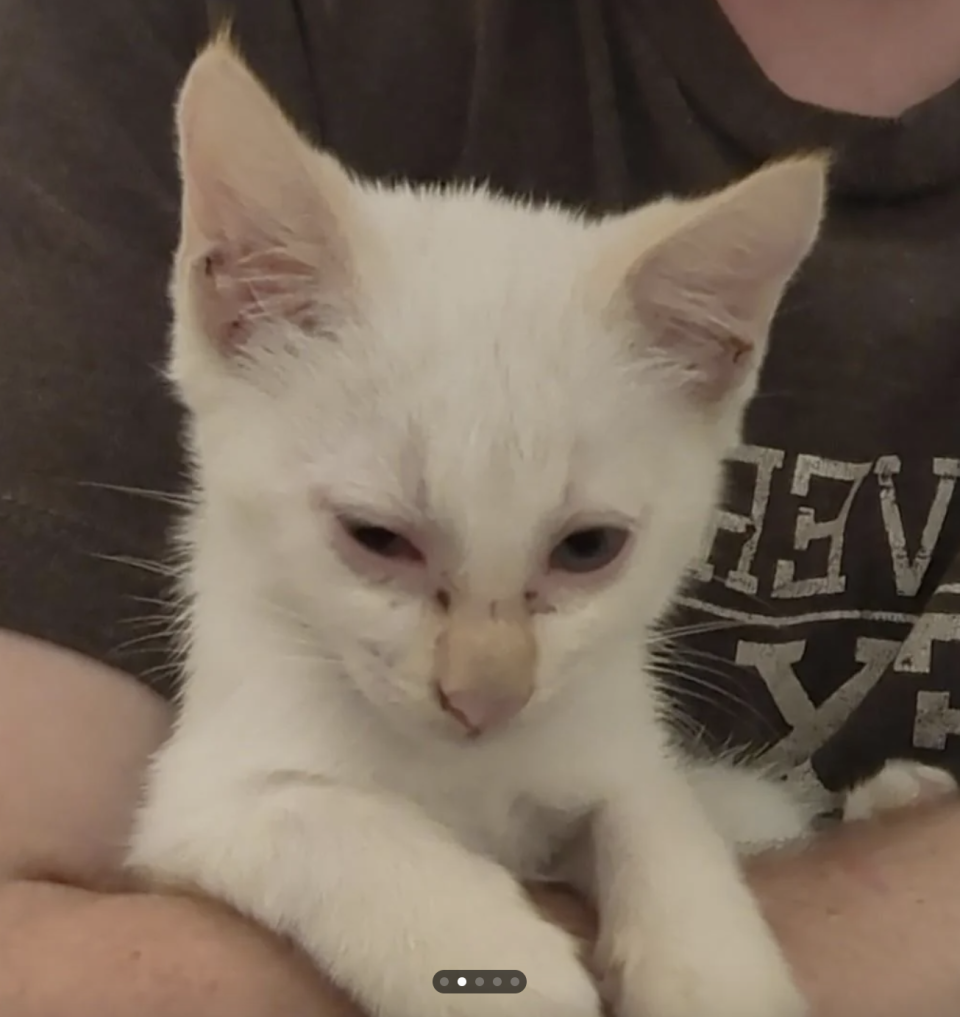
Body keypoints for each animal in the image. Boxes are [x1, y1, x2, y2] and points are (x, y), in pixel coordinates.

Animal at [127, 39, 943, 1017]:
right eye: (376, 538)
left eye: (587, 548)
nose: (485, 697)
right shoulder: (201, 801)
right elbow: (324, 816)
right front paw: (487, 956)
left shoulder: (612, 736)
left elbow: (657, 811)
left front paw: (709, 961)